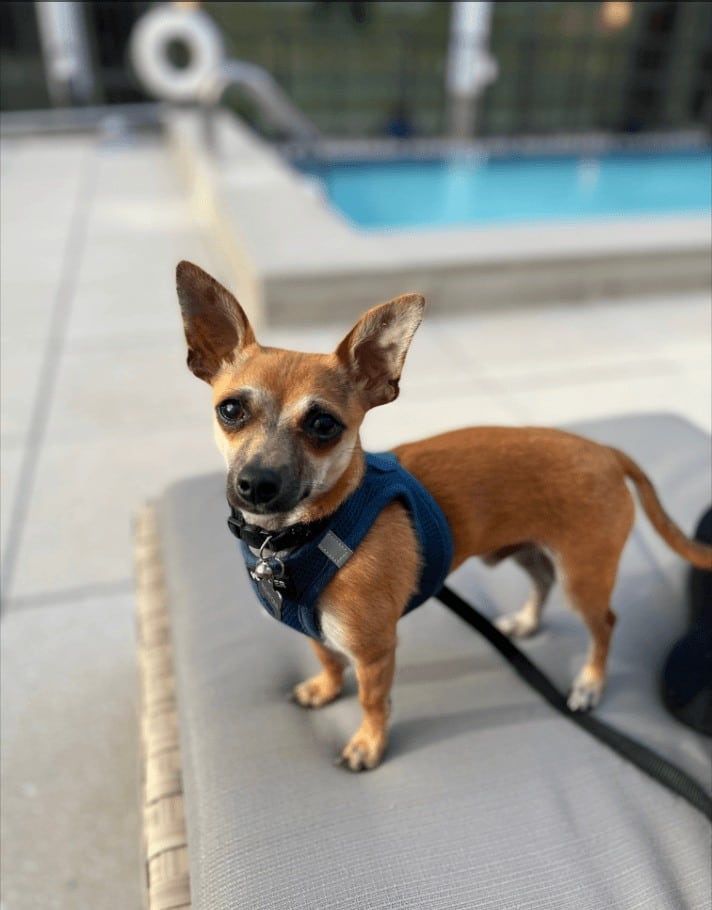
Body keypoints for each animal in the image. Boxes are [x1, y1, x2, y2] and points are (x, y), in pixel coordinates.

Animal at [176, 260, 712, 771]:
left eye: (324, 425)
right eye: (230, 411)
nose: (255, 485)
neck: (301, 537)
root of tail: (605, 451)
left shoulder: (375, 651)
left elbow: (372, 701)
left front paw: (369, 744)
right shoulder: (317, 631)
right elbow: (327, 660)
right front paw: (326, 690)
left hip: (584, 577)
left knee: (604, 625)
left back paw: (589, 683)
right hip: (529, 550)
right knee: (542, 581)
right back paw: (526, 622)